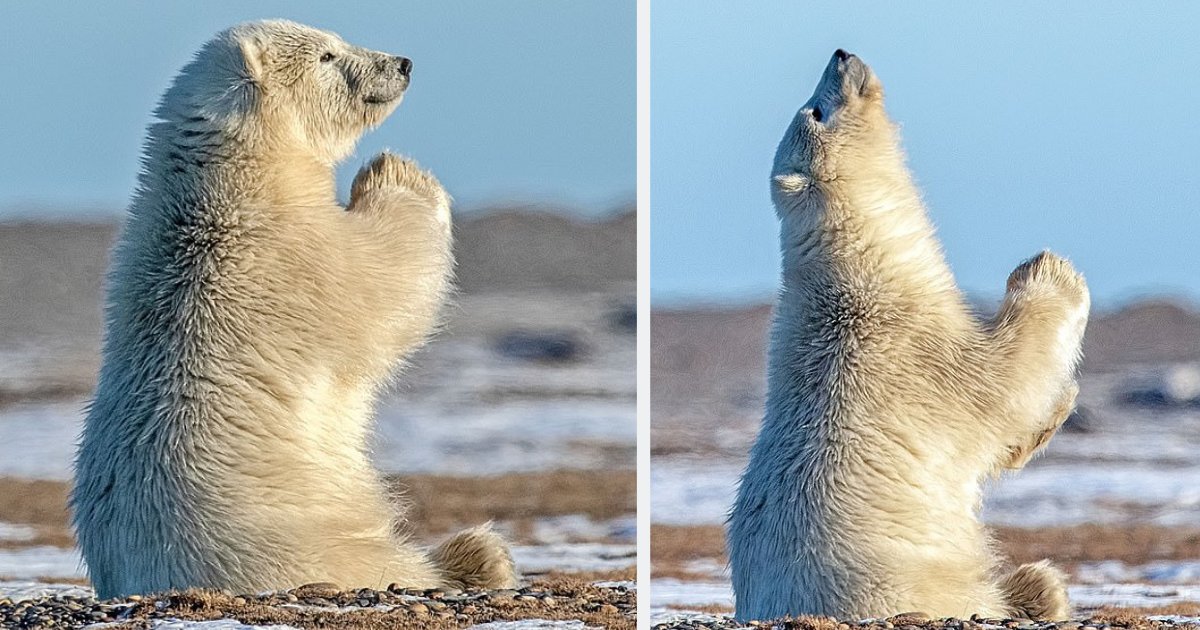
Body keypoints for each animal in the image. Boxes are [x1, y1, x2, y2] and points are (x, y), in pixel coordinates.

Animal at [70, 19, 518, 597]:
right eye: (327, 55)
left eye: (337, 40)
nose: (402, 63)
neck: (236, 179)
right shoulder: (291, 257)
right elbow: (385, 281)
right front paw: (395, 171)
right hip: (298, 543)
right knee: (382, 565)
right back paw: (477, 556)